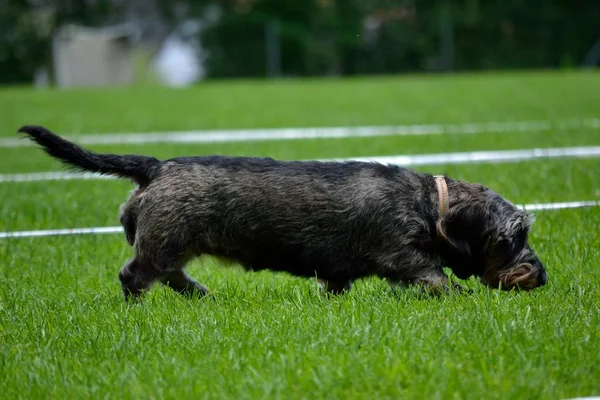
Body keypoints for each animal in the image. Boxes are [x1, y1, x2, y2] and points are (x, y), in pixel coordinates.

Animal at [17, 126, 548, 300]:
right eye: (512, 236)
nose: (542, 276)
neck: (425, 203)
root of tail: (157, 166)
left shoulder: (339, 272)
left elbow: (334, 286)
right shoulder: (405, 258)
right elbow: (438, 280)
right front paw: (464, 296)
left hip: (172, 246)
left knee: (170, 275)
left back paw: (201, 295)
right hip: (162, 243)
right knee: (135, 276)